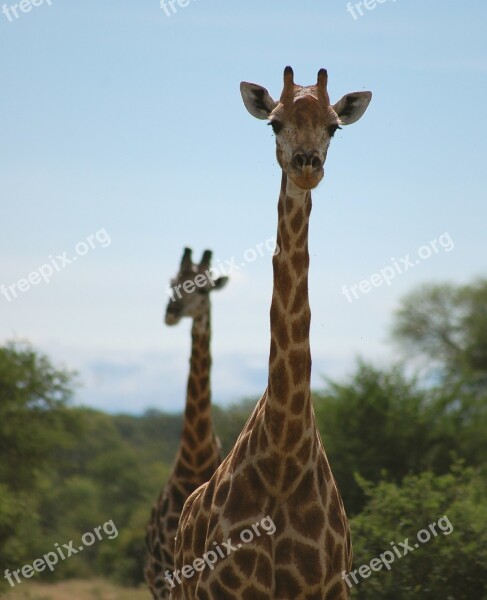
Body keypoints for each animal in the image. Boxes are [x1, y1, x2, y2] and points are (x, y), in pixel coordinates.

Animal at [170, 68, 372, 596]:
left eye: (333, 127)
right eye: (275, 124)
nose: (307, 166)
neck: (283, 453)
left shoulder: (330, 588)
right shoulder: (224, 591)